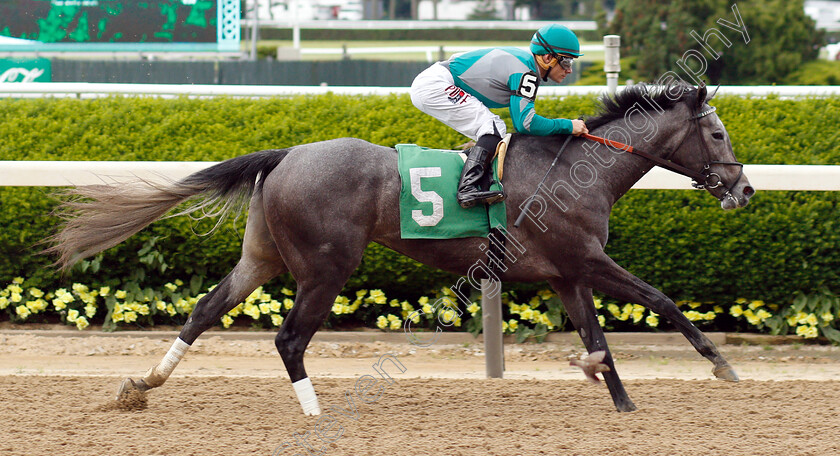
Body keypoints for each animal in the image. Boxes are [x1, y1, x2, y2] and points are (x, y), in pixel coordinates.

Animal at [46, 82, 756, 414]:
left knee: (204, 310)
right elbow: (660, 300)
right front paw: (723, 366)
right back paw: (315, 411)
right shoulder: (585, 261)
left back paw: (142, 384)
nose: (745, 189)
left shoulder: (566, 274)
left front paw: (620, 400)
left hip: (262, 256)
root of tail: (286, 154)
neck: (576, 166)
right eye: (718, 133)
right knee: (289, 340)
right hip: (326, 266)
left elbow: (597, 339)